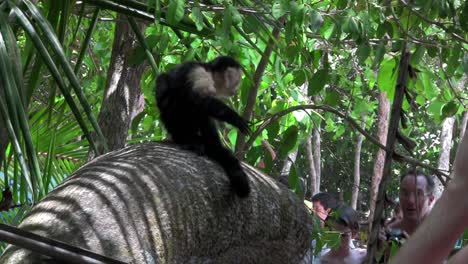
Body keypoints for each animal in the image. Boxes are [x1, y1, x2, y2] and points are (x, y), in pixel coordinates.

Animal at [156, 55, 252, 197]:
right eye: (237, 81)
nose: (236, 91)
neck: (210, 72)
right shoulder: (200, 72)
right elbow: (201, 99)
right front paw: (235, 119)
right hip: (179, 119)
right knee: (193, 103)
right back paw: (195, 141)